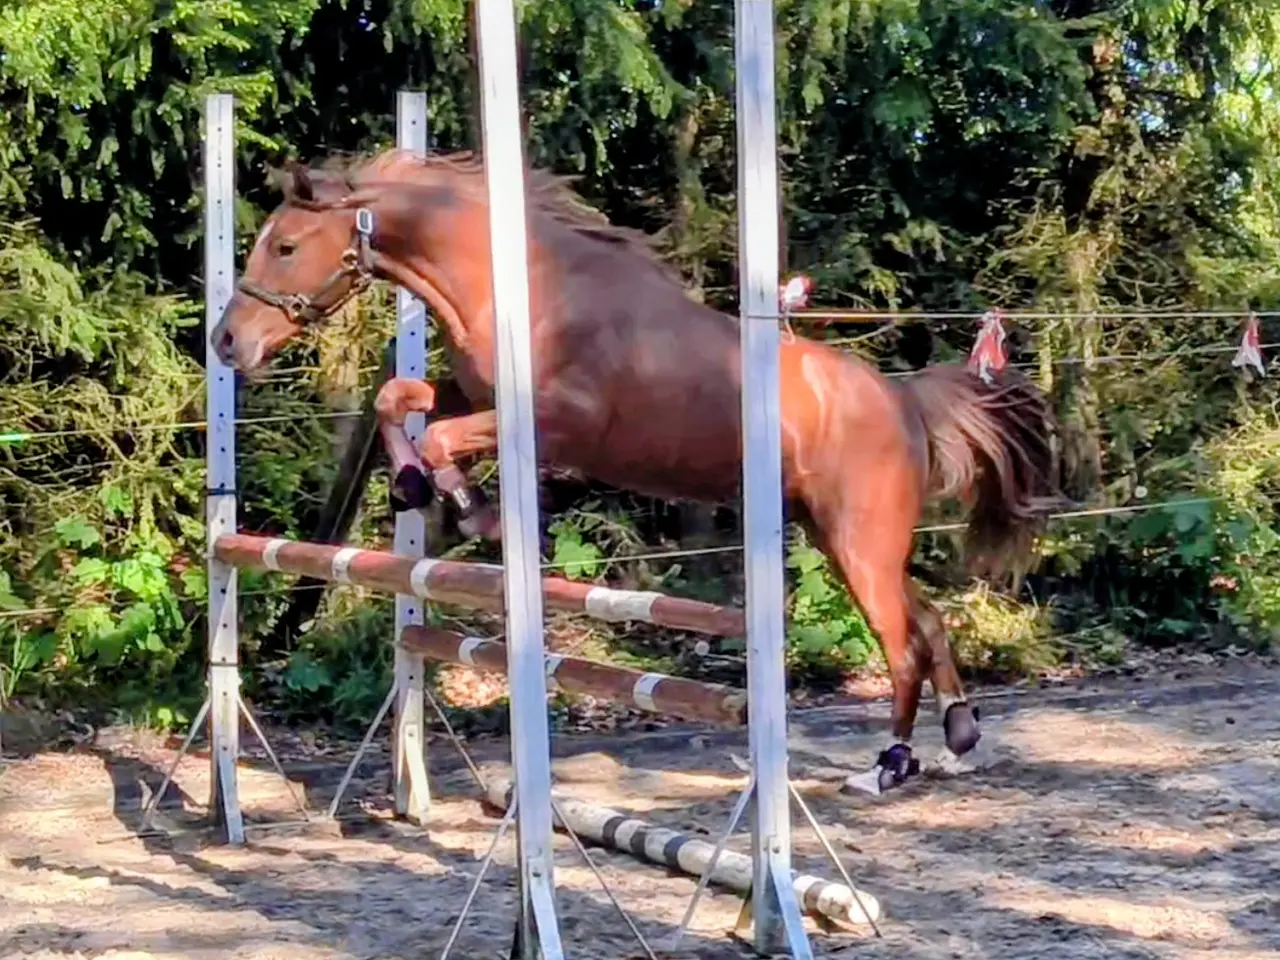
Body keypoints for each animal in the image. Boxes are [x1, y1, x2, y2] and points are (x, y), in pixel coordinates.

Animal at [210, 149, 1060, 793]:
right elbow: (400, 400)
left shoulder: (559, 424)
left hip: (860, 541)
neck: (525, 291)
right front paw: (417, 487)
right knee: (927, 620)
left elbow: (447, 437)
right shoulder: (471, 394)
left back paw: (888, 764)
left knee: (901, 643)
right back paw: (955, 733)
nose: (226, 342)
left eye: (285, 246)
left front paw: (465, 502)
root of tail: (901, 399)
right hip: (839, 537)